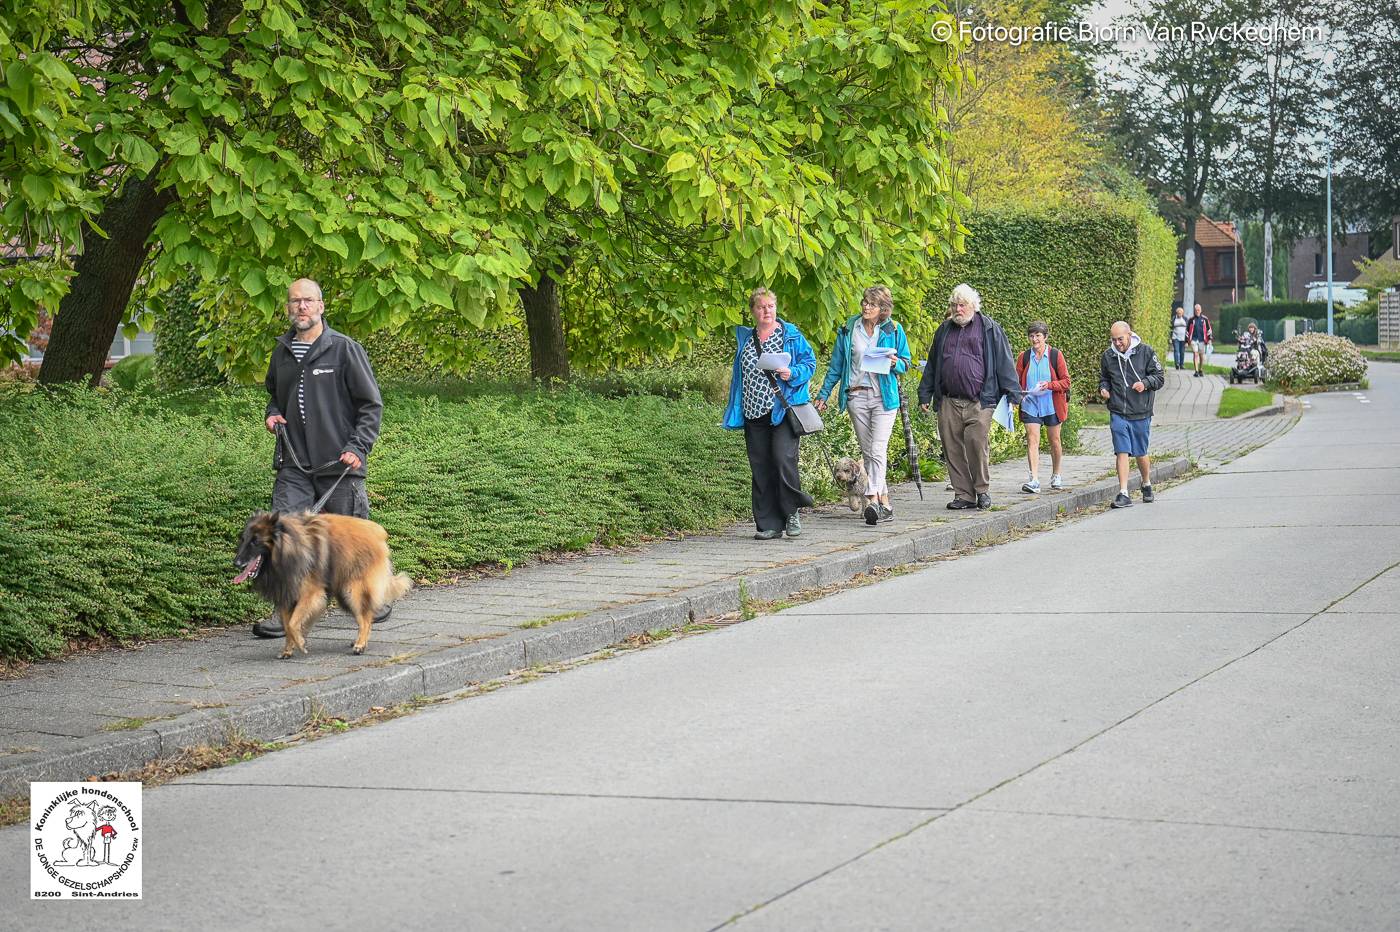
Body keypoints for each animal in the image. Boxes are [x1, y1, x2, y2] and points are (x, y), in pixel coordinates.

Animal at [229, 512, 411, 657]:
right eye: (243, 540)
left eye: (255, 541)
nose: (236, 563)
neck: (289, 549)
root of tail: (378, 531)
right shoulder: (288, 596)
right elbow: (288, 626)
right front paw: (289, 649)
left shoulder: (310, 594)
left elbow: (293, 624)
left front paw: (301, 643)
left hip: (352, 591)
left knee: (365, 619)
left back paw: (360, 645)